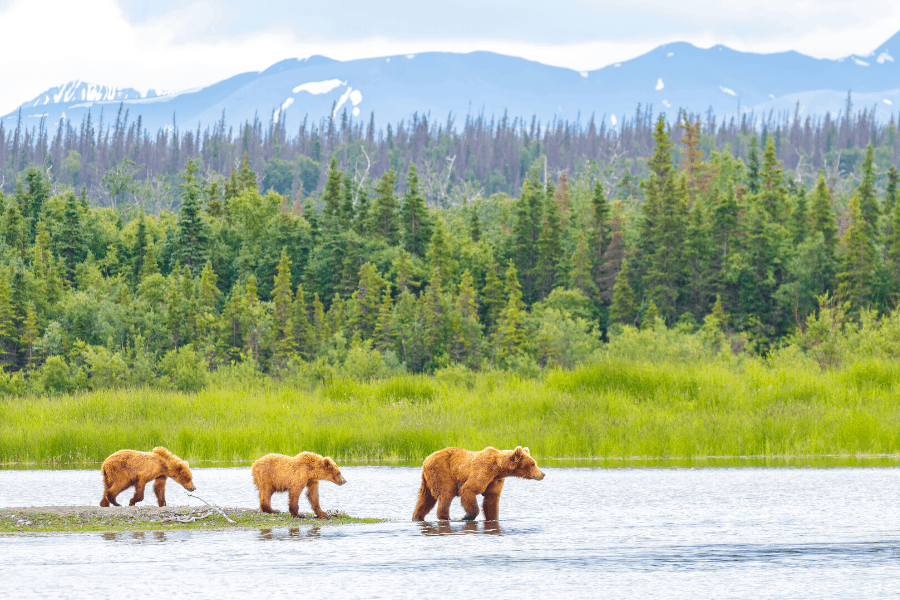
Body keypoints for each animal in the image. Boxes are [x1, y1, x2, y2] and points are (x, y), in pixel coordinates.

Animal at [412, 446, 544, 520]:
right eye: (532, 463)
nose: (542, 474)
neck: (498, 468)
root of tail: (426, 459)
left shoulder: (495, 480)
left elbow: (491, 500)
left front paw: (493, 518)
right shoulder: (483, 471)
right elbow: (468, 489)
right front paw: (467, 516)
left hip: (427, 479)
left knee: (425, 499)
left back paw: (417, 517)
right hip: (441, 471)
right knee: (446, 493)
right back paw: (445, 517)